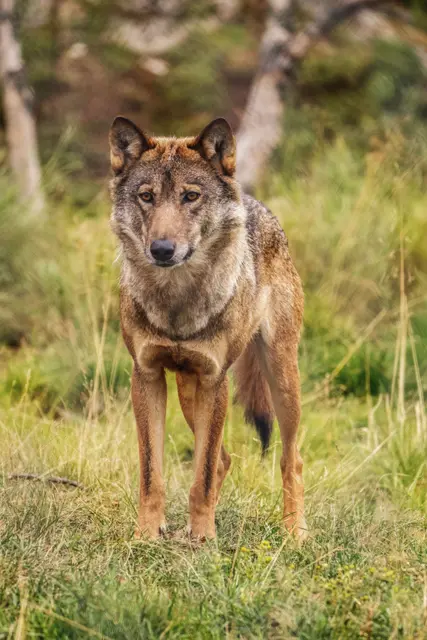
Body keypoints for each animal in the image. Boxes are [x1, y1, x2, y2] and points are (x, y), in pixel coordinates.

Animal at [109, 116, 306, 540]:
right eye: (146, 197)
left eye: (191, 196)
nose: (162, 249)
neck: (177, 302)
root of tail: (256, 204)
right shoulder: (146, 376)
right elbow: (152, 474)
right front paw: (147, 536)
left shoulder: (216, 381)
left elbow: (199, 478)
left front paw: (203, 538)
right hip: (188, 390)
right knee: (223, 460)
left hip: (281, 379)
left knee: (291, 458)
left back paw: (295, 533)